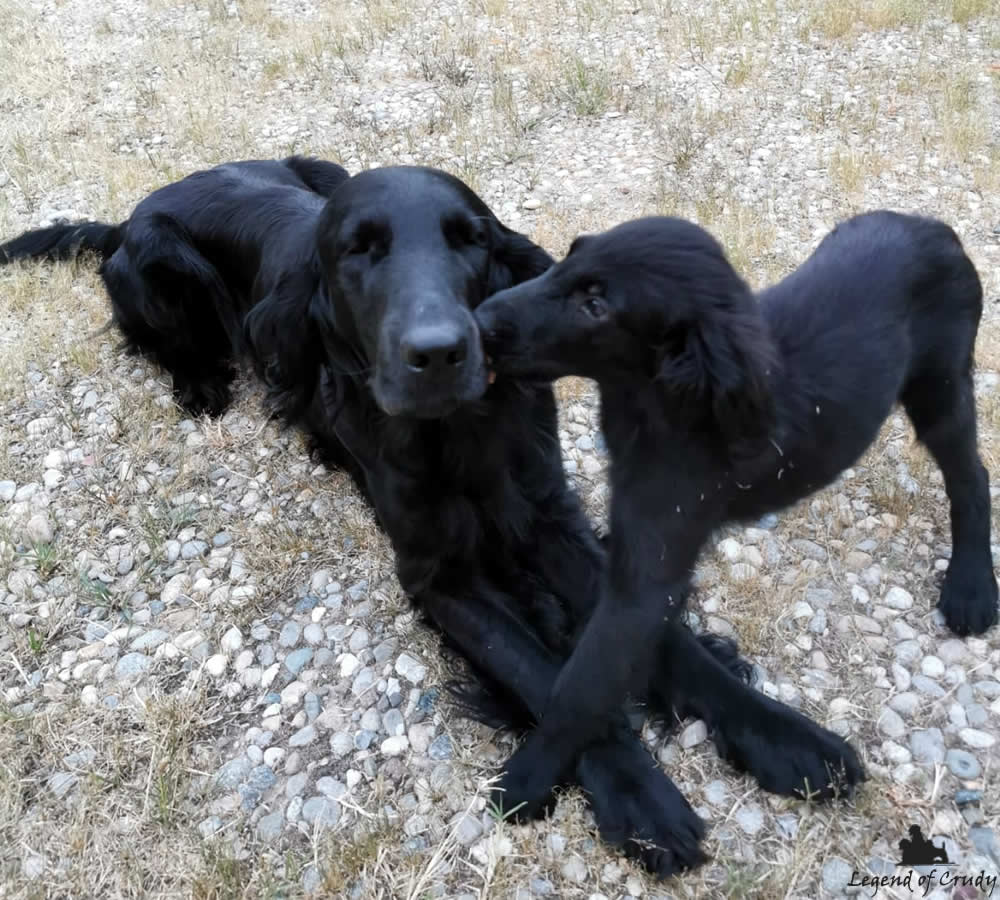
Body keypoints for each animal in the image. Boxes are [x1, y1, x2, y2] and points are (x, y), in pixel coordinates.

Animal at [0, 160, 752, 872]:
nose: (440, 352)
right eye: (358, 251)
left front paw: (771, 734)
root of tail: (130, 218)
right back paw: (200, 383)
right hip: (167, 265)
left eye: (471, 239)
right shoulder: (437, 576)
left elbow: (651, 630)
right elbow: (540, 674)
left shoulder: (548, 516)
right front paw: (640, 797)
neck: (460, 430)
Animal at [472, 209, 996, 824]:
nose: (480, 322)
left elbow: (580, 686)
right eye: (571, 255)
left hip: (940, 389)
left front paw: (526, 777)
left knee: (972, 477)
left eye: (596, 306)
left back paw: (971, 586)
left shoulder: (644, 580)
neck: (667, 401)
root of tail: (934, 227)